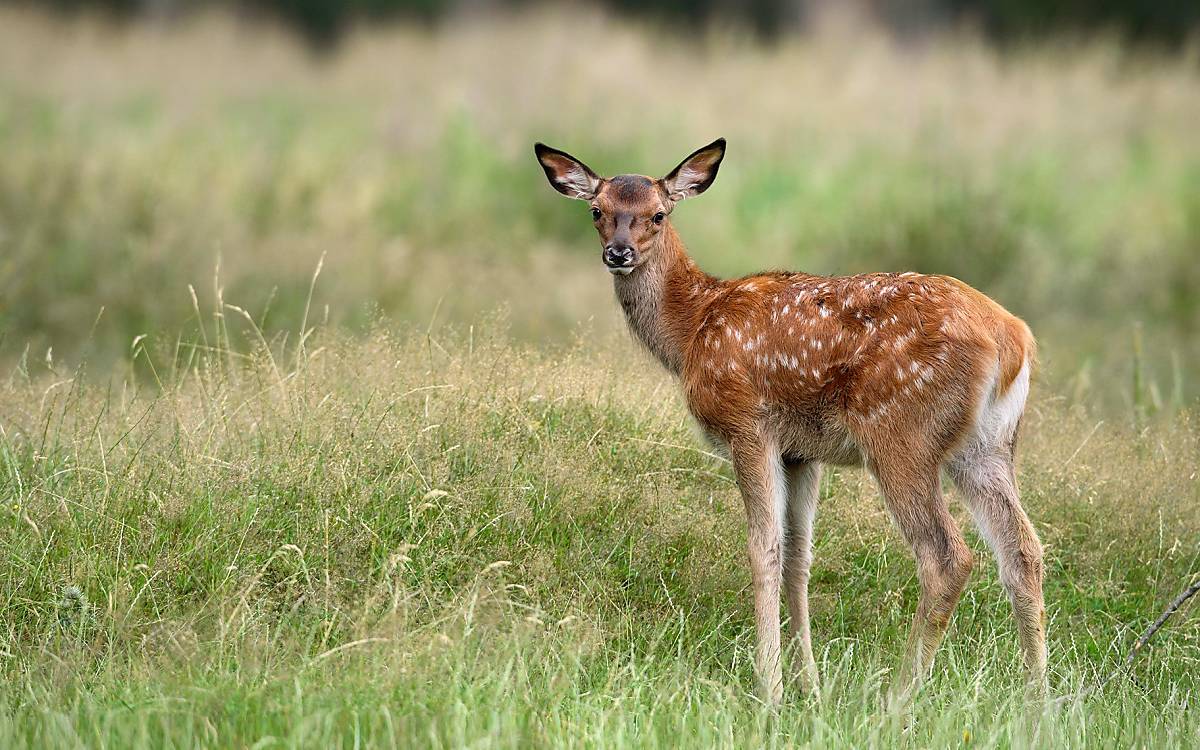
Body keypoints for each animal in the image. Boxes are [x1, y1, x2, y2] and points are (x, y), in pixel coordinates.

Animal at [537, 139, 1051, 700]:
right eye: (597, 211)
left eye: (658, 214)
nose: (619, 253)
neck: (692, 327)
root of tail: (1013, 340)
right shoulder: (802, 451)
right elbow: (799, 558)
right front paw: (811, 684)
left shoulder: (747, 424)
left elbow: (764, 548)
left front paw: (770, 686)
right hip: (987, 445)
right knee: (1023, 551)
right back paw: (1038, 701)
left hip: (901, 433)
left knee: (948, 557)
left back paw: (898, 698)